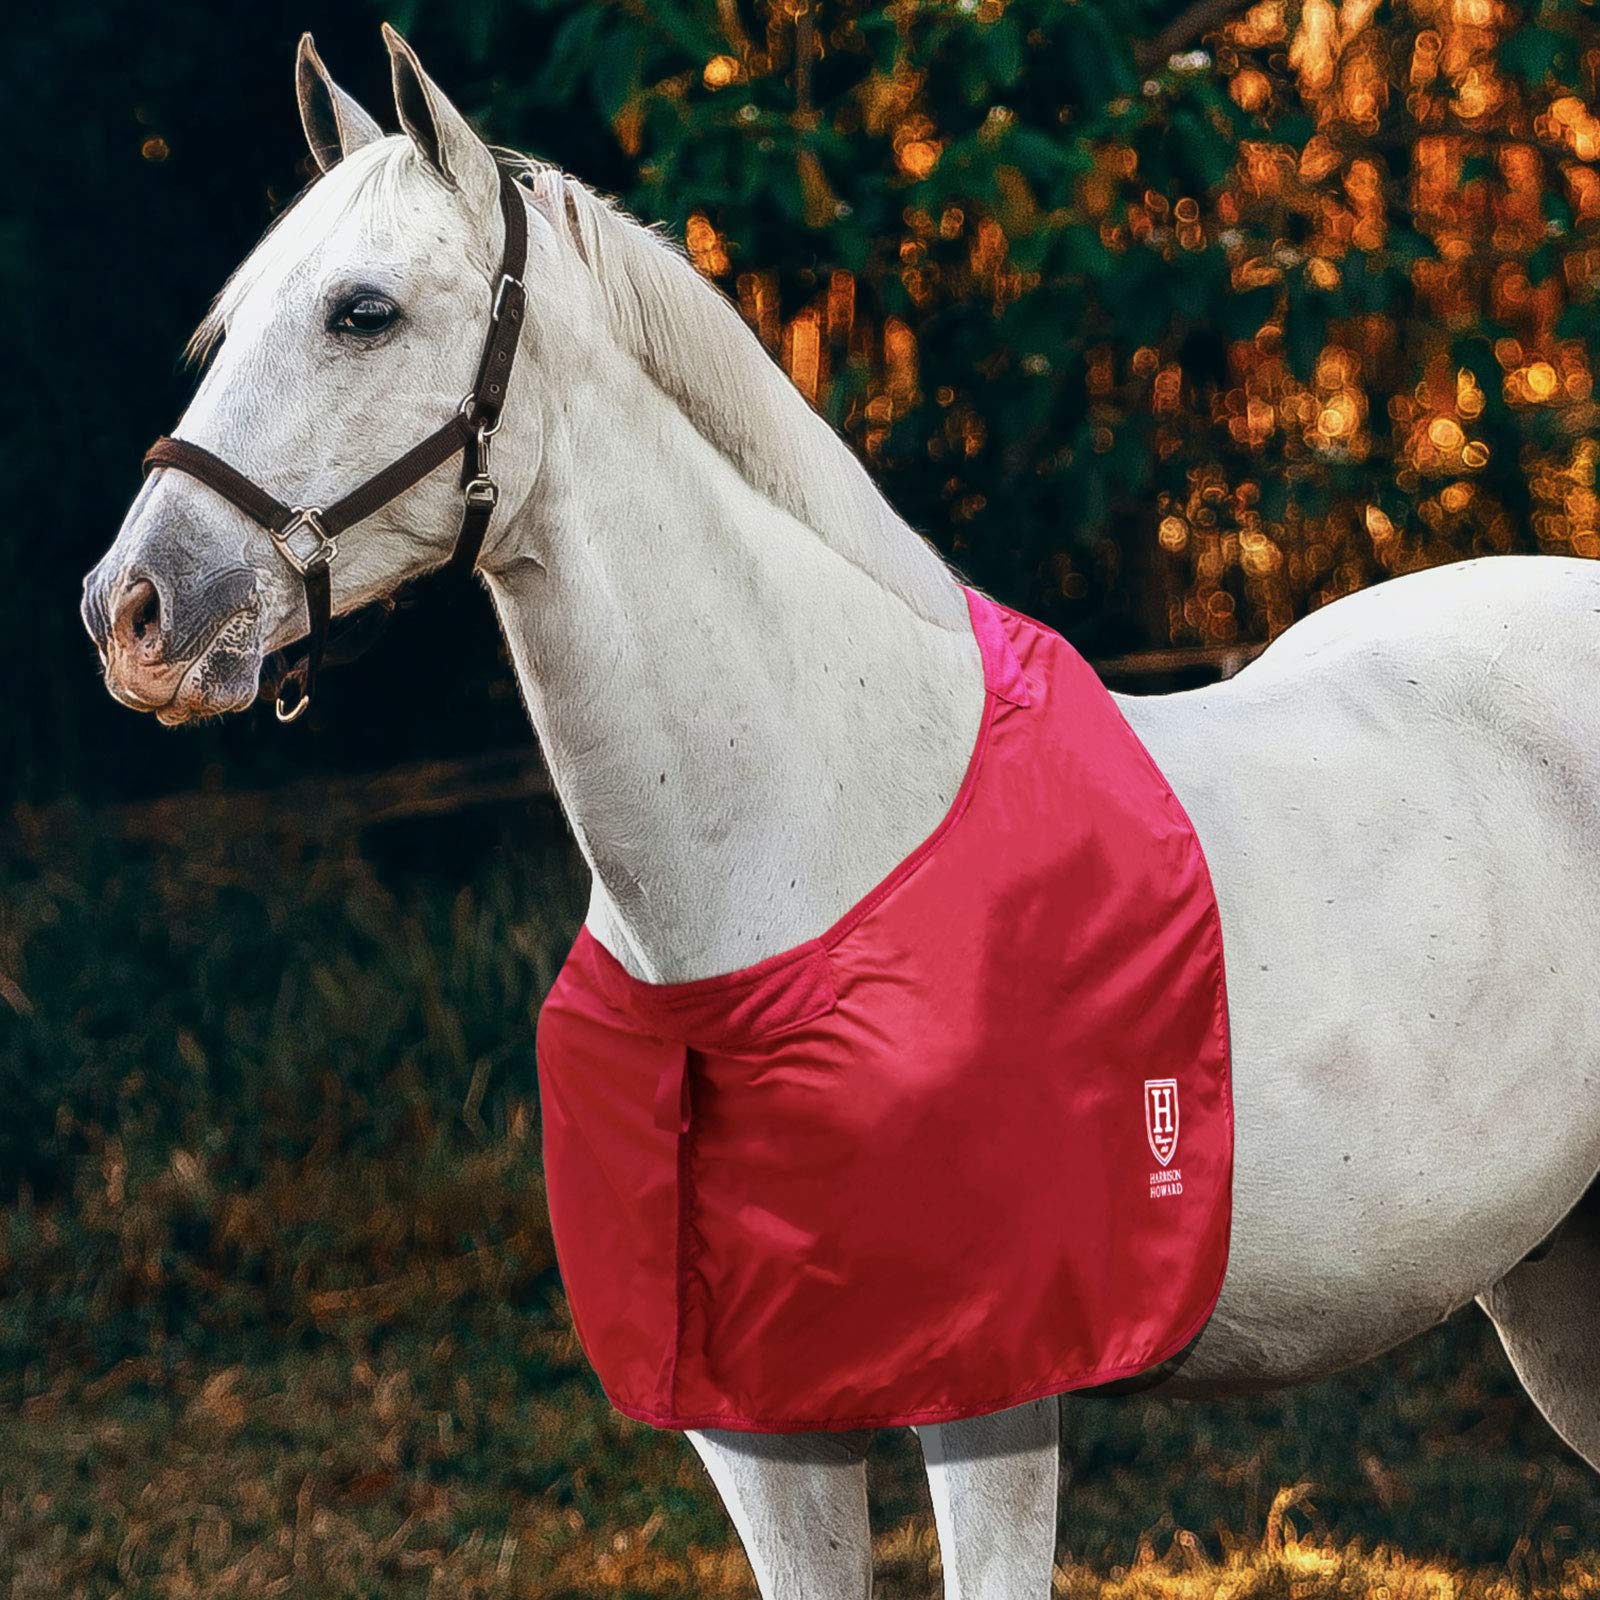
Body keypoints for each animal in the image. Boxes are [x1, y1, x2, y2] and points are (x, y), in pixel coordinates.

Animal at [82, 29, 1600, 1598]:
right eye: (231, 320)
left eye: (362, 313)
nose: (133, 612)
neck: (810, 851)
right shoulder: (761, 1441)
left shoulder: (995, 1415)